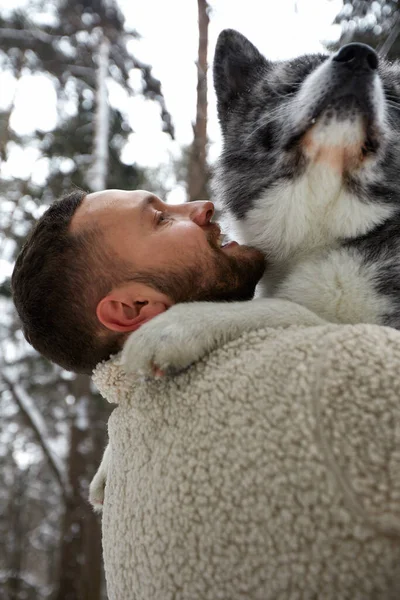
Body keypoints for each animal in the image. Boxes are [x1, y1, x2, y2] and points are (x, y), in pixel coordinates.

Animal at [88, 30, 400, 510]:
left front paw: (179, 326)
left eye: (394, 94)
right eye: (294, 81)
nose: (358, 56)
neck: (324, 227)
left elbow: (288, 310)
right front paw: (107, 462)